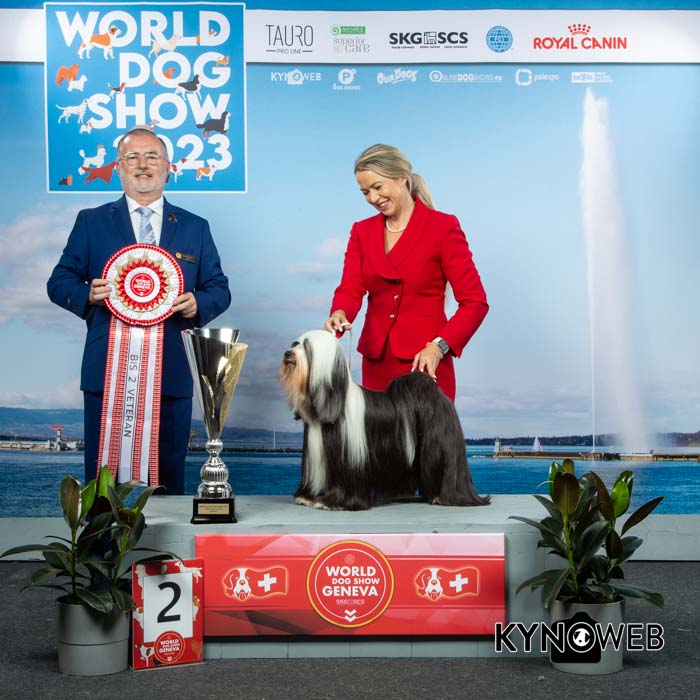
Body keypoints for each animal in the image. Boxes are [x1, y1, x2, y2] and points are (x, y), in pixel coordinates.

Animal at [280, 330, 489, 511]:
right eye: (295, 344)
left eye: (307, 347)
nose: (288, 353)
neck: (334, 400)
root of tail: (433, 391)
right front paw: (307, 497)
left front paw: (331, 502)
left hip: (441, 445)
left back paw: (446, 497)